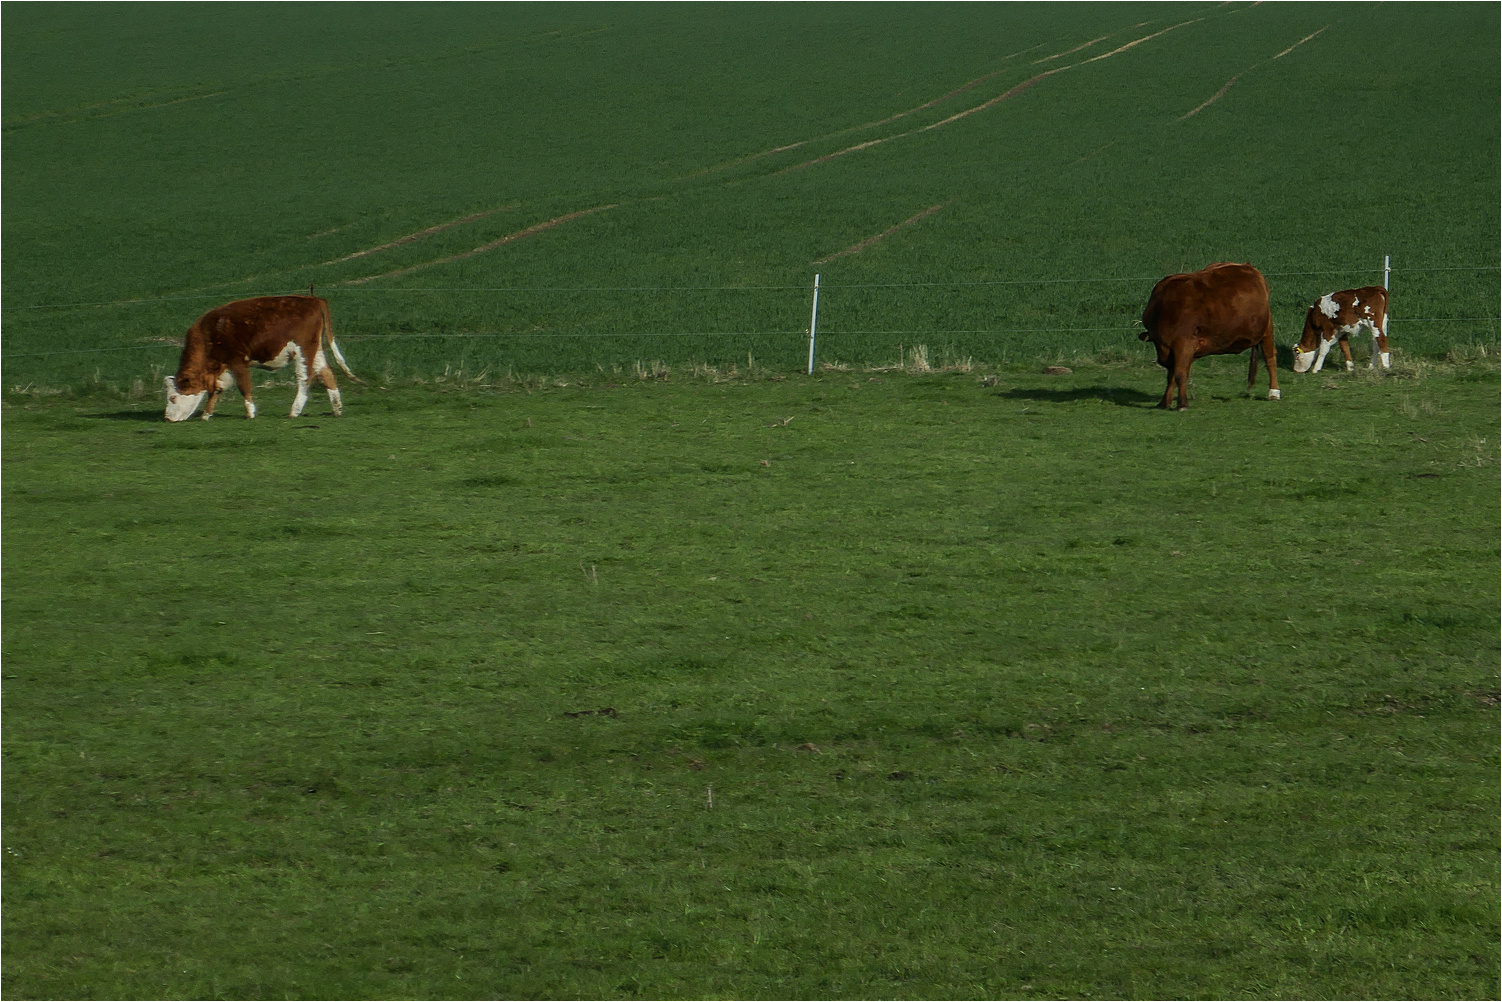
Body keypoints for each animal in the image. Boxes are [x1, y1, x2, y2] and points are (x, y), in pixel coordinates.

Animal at [165, 295, 360, 426]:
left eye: (173, 397)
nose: (167, 417)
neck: (210, 333)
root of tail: (313, 299)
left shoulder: (238, 361)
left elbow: (244, 386)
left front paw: (250, 413)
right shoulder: (222, 368)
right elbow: (216, 390)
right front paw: (206, 414)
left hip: (303, 350)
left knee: (305, 379)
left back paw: (294, 411)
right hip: (316, 349)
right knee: (327, 374)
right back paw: (337, 410)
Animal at [1135, 264, 1279, 414]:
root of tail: (1247, 266)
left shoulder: (1184, 343)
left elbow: (1180, 375)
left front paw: (1182, 404)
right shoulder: (1175, 351)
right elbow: (1171, 376)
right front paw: (1164, 402)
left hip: (1267, 329)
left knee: (1270, 358)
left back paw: (1273, 392)